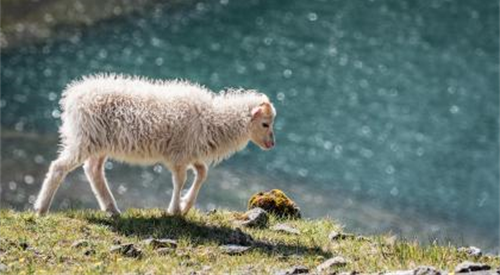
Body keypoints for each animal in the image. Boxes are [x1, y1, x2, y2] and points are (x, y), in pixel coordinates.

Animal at [35, 74, 278, 217]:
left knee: (93, 170)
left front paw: (185, 205)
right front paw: (174, 210)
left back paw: (112, 208)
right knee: (58, 167)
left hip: (98, 143)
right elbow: (180, 180)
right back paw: (41, 208)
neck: (212, 119)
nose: (272, 144)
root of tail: (73, 96)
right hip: (84, 138)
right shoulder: (178, 155)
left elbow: (202, 173)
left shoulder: (190, 153)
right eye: (265, 123)